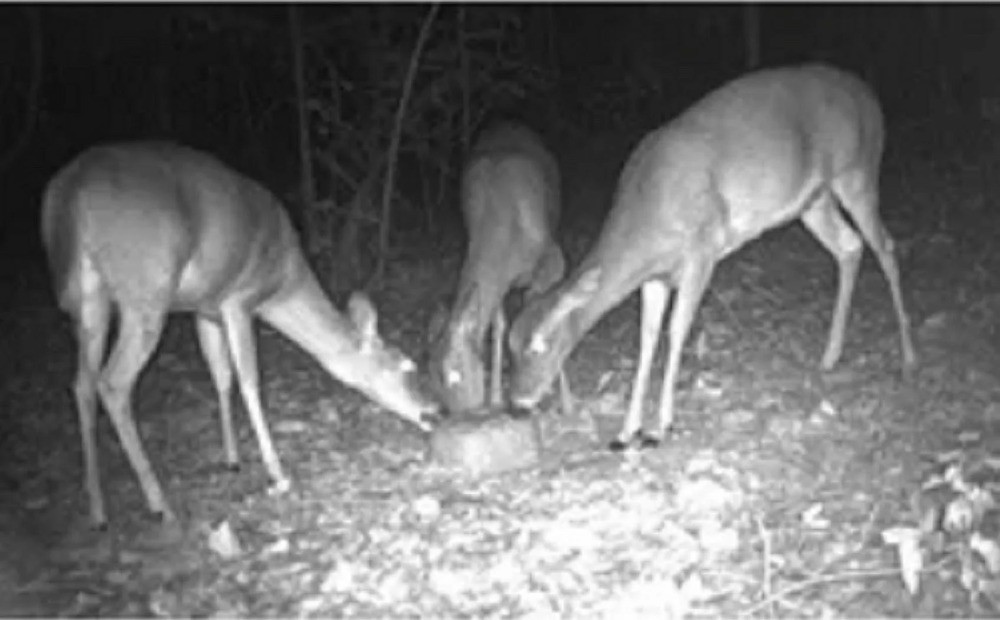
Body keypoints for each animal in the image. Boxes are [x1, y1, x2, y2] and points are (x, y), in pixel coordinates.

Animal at [41, 141, 442, 528]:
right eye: (407, 366)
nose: (433, 411)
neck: (284, 283)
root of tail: (69, 194)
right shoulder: (240, 299)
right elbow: (249, 379)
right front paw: (276, 472)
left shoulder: (206, 310)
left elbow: (221, 376)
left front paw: (232, 458)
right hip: (145, 292)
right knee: (113, 382)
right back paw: (160, 505)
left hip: (87, 300)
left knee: (82, 384)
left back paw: (98, 511)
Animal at [428, 121, 572, 416]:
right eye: (430, 379)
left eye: (453, 375)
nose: (457, 416)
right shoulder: (499, 283)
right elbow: (499, 327)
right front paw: (495, 397)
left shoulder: (553, 256)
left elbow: (548, 310)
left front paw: (566, 402)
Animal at [507, 64, 918, 451]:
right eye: (510, 346)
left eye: (540, 344)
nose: (517, 402)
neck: (648, 213)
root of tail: (867, 93)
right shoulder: (655, 277)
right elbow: (646, 339)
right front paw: (626, 432)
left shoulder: (701, 250)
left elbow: (676, 330)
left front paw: (660, 427)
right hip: (814, 201)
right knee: (849, 246)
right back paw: (831, 356)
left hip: (858, 172)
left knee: (886, 245)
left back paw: (909, 358)